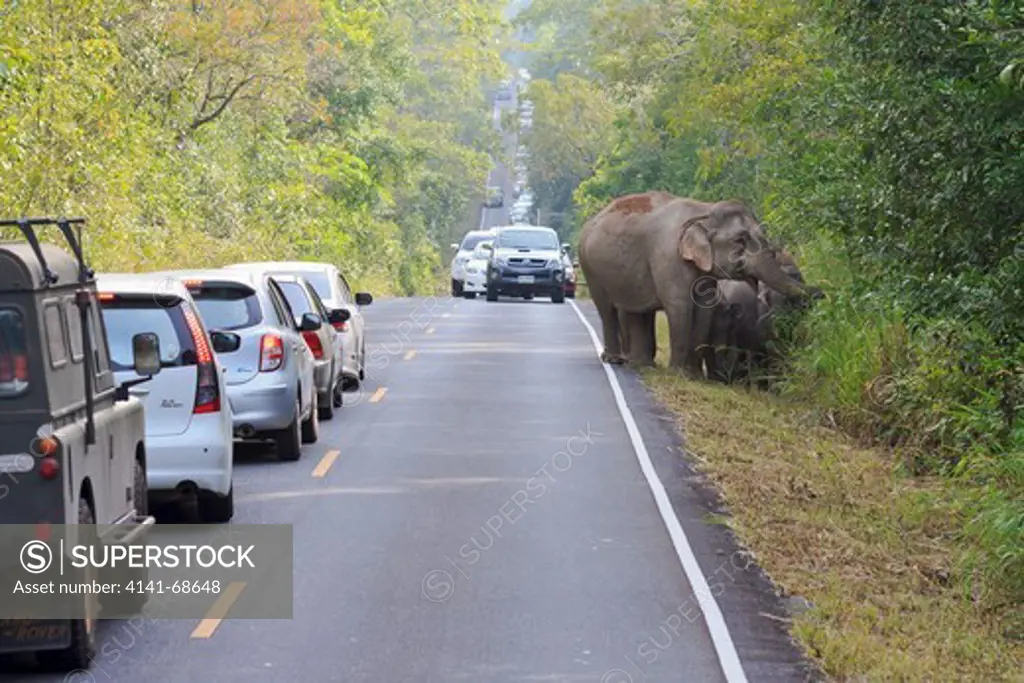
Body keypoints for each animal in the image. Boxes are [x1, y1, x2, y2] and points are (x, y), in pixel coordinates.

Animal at [577, 191, 806, 378]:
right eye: (740, 240)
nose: (819, 294)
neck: (704, 211)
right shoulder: (668, 257)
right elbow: (680, 305)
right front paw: (676, 373)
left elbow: (704, 310)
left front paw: (693, 375)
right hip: (589, 266)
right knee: (606, 308)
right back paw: (615, 359)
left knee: (637, 310)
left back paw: (642, 365)